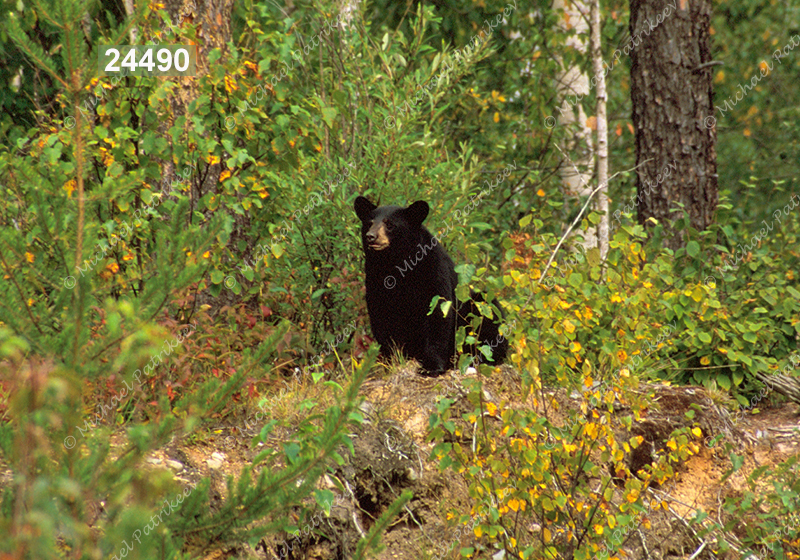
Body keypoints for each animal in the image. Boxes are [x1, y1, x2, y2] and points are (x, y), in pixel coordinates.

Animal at [354, 197, 506, 376]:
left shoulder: (433, 271)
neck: (396, 264)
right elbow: (382, 319)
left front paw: (431, 366)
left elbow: (438, 314)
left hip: (478, 308)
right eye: (369, 223)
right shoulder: (375, 280)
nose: (371, 236)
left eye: (389, 224)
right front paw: (392, 362)